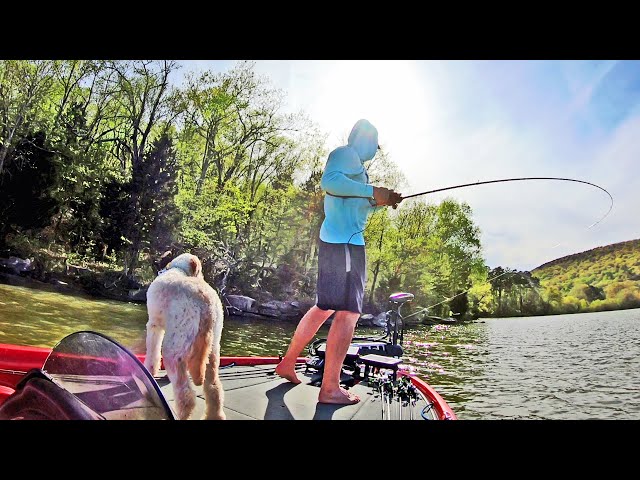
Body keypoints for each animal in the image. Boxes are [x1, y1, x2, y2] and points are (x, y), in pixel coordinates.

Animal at [144, 253, 226, 418]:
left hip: (173, 349)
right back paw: (214, 415)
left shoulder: (154, 326)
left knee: (186, 397)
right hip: (212, 349)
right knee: (214, 389)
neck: (180, 269)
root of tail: (206, 304)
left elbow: (152, 355)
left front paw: (149, 371)